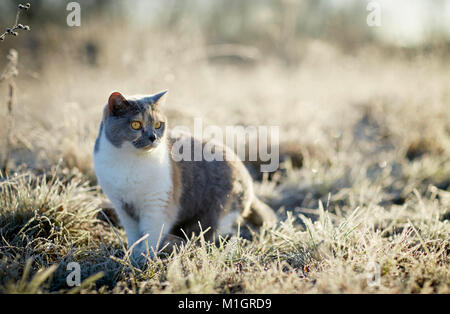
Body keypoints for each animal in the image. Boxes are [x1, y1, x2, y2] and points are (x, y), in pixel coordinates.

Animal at [93, 90, 276, 258]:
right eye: (136, 125)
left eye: (158, 125)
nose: (153, 137)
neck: (130, 162)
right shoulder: (122, 207)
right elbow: (133, 235)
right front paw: (132, 254)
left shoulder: (158, 205)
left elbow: (151, 235)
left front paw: (144, 257)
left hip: (220, 211)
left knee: (221, 232)